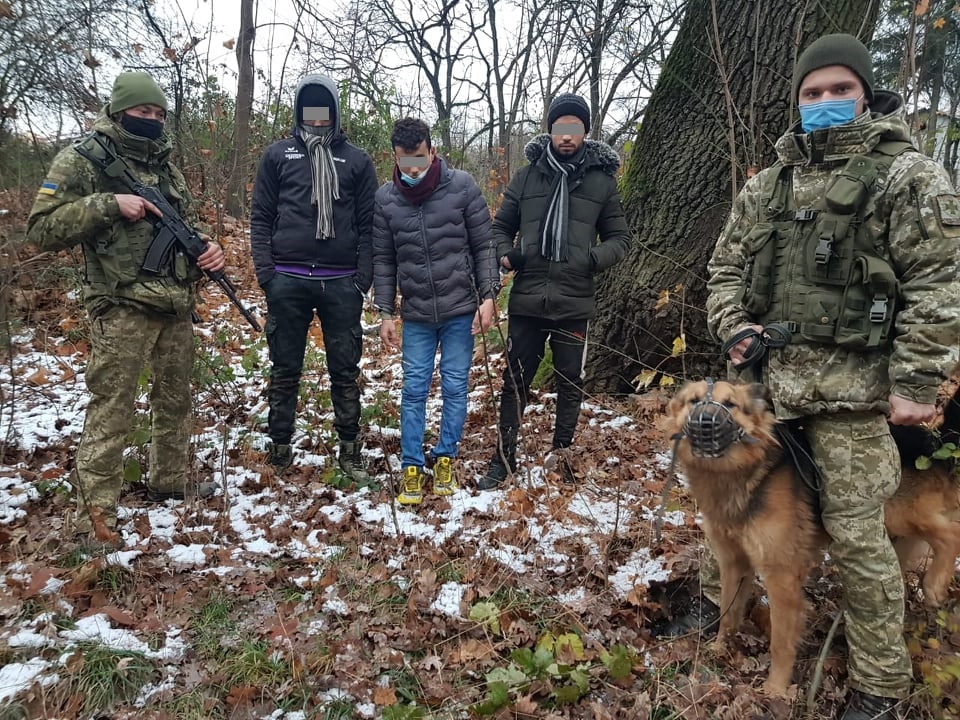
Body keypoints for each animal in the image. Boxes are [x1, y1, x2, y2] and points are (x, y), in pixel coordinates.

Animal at [664, 382, 960, 696]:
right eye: (694, 401)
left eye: (730, 404)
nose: (705, 421)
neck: (744, 474)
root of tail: (935, 442)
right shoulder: (734, 561)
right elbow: (728, 612)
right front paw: (720, 649)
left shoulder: (781, 575)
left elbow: (781, 641)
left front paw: (776, 689)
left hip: (896, 513)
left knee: (950, 535)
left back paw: (934, 585)